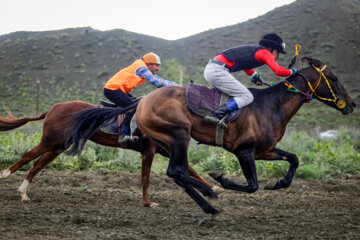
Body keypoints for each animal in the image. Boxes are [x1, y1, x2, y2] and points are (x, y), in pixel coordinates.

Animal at [0, 100, 219, 205]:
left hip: (58, 145)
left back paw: (23, 193)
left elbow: (191, 169)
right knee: (27, 156)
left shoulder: (164, 151)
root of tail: (54, 108)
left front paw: (213, 187)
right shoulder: (148, 151)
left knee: (37, 164)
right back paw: (5, 175)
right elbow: (145, 178)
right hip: (51, 140)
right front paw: (147, 203)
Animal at [64, 56, 354, 216]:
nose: (350, 104)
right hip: (179, 135)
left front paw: (279, 183)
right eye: (333, 78)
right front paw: (221, 179)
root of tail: (142, 101)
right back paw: (211, 191)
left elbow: (294, 159)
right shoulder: (244, 151)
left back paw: (209, 206)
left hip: (169, 142)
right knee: (176, 171)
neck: (270, 106)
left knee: (178, 173)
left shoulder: (264, 150)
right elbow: (252, 185)